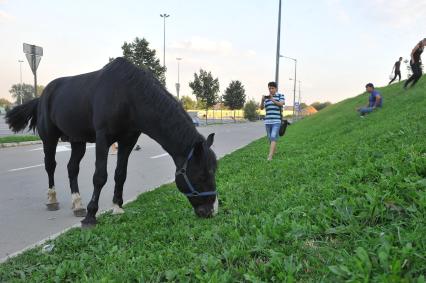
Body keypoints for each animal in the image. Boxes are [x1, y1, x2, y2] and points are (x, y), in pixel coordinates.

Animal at [6, 58, 218, 229]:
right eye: (201, 175)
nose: (210, 211)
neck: (128, 95)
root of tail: (42, 96)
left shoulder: (128, 141)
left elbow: (120, 174)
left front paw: (117, 207)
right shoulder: (103, 139)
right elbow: (100, 176)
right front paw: (91, 216)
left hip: (78, 141)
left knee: (72, 168)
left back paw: (78, 204)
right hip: (49, 138)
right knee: (50, 165)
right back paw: (52, 200)